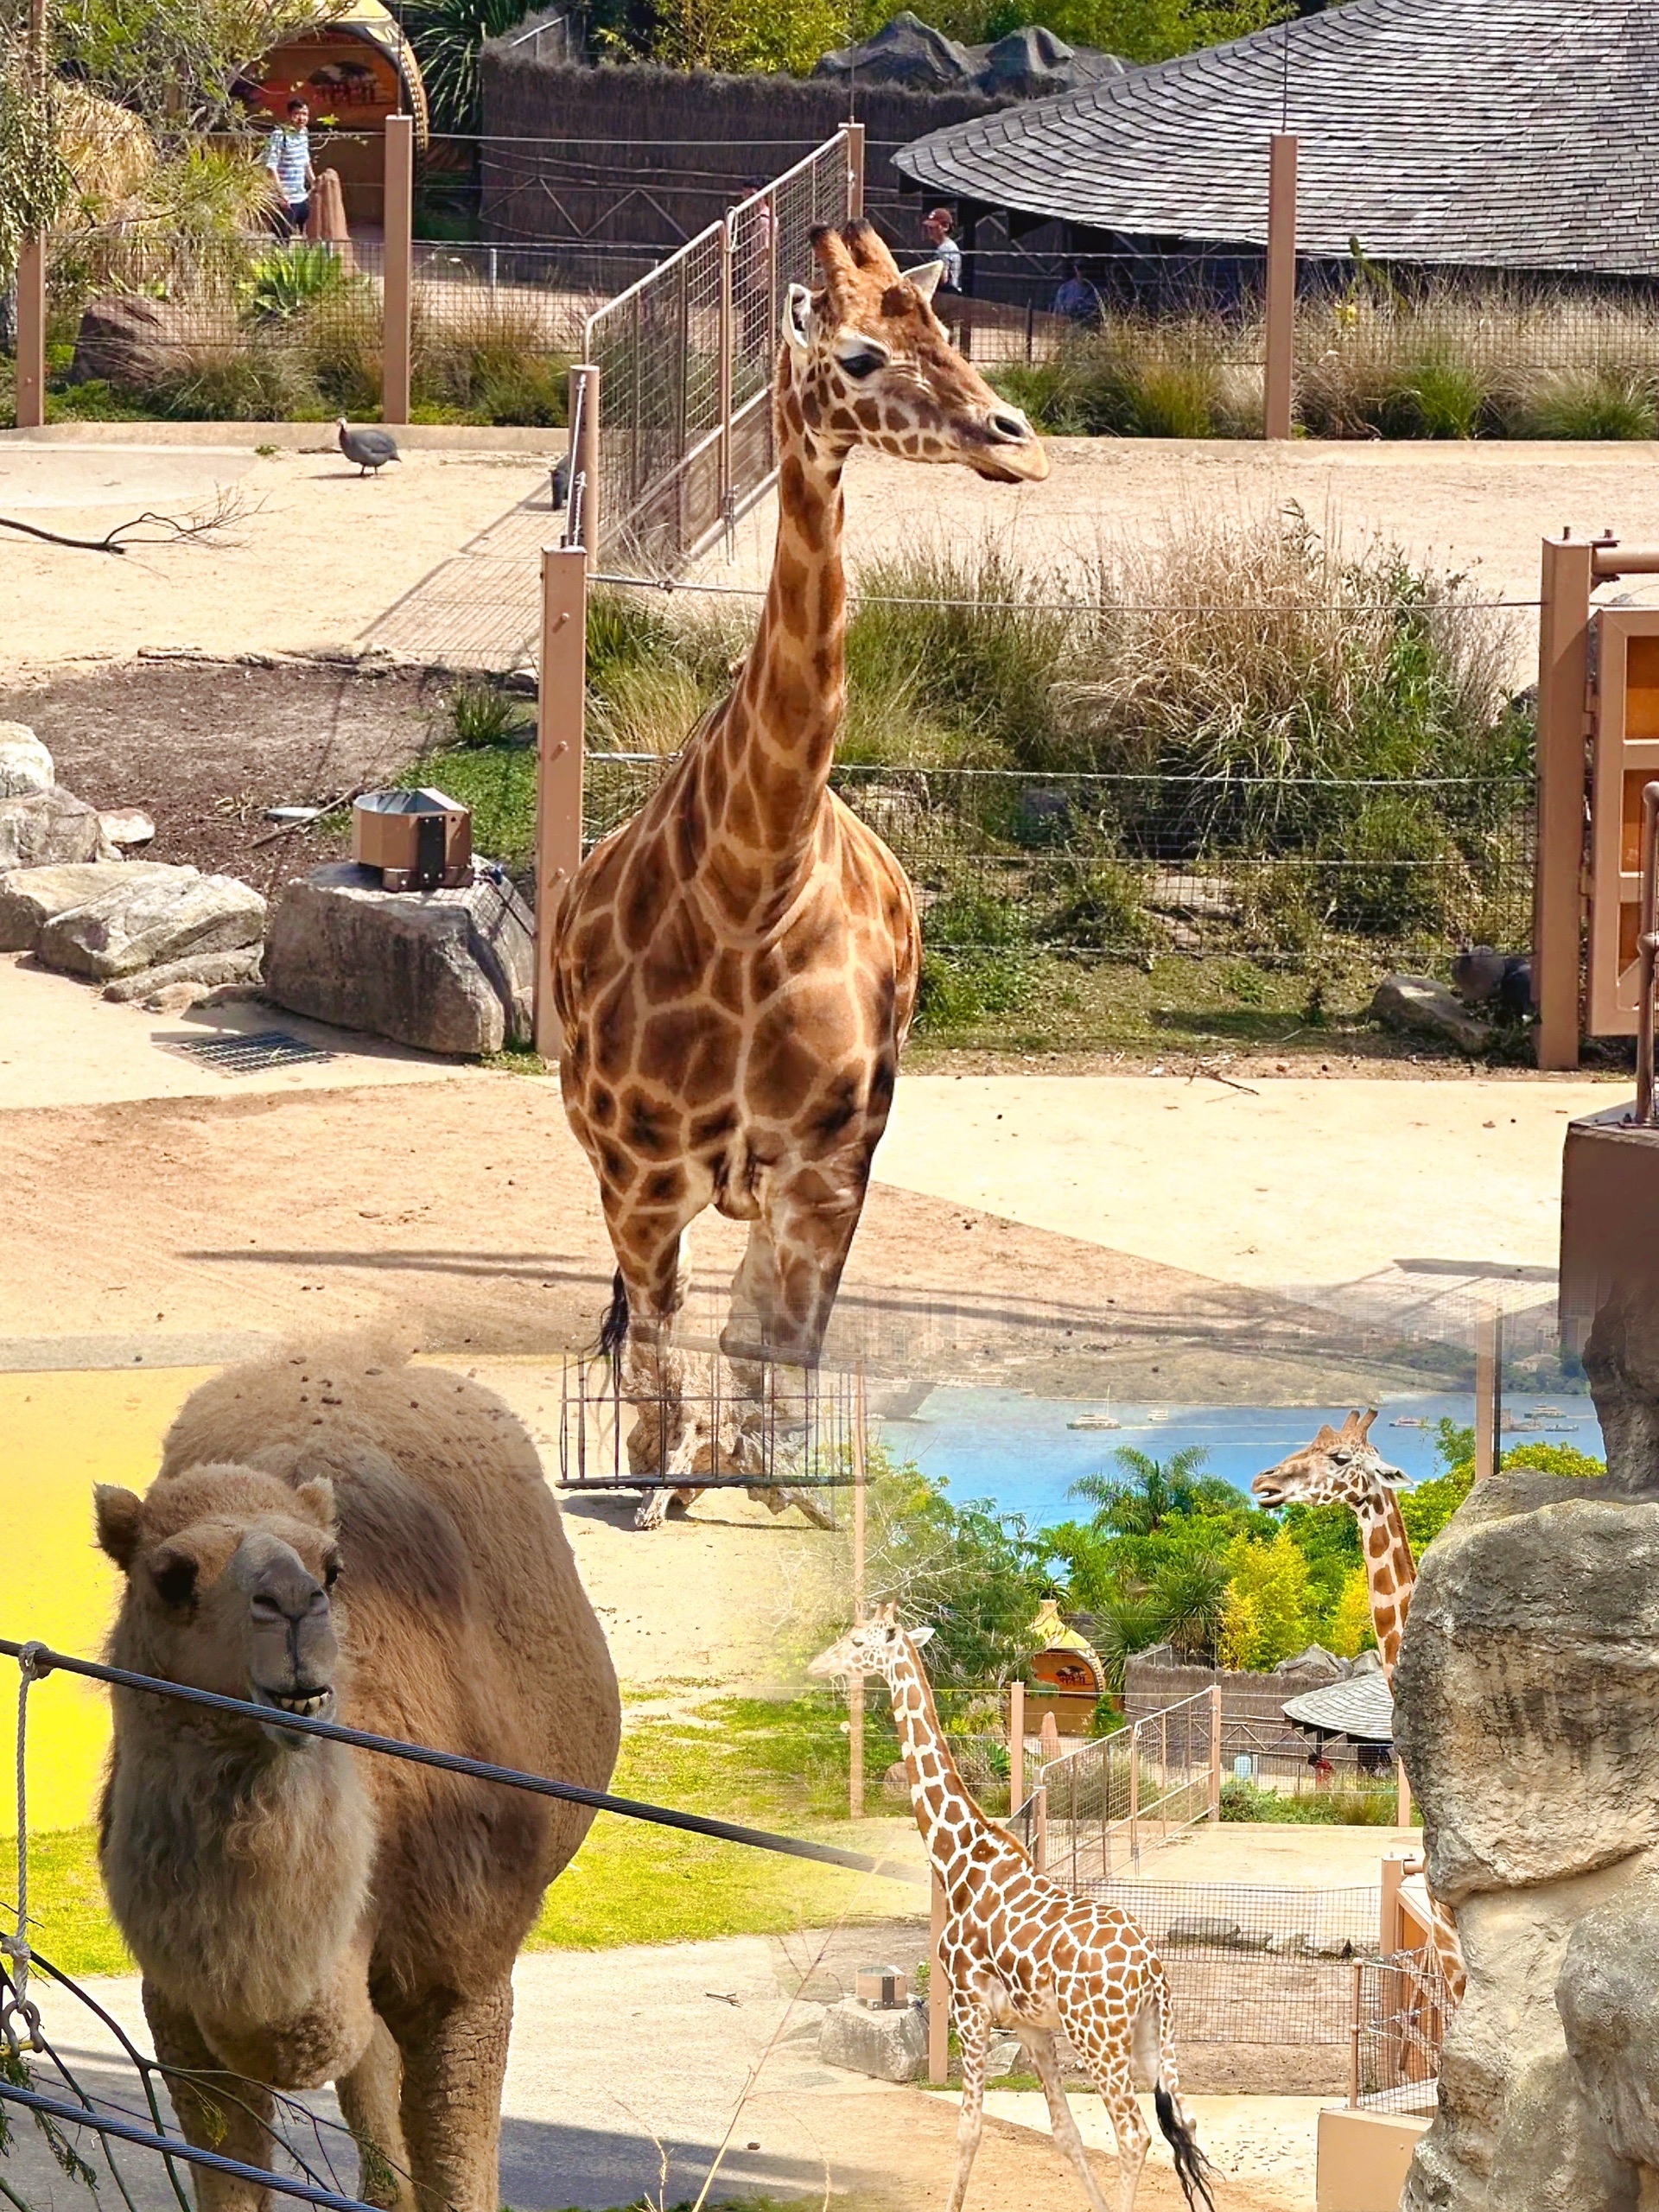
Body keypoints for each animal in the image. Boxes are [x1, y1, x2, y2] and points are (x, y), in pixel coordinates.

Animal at [93, 1336, 623, 2212]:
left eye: (332, 1567)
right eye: (172, 1577)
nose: (293, 1604)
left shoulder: (468, 1975)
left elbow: (461, 2175)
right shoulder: (174, 2001)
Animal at [559, 219, 1052, 1539]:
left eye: (950, 331)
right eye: (862, 353)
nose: (1017, 443)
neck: (753, 887)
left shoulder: (831, 1168)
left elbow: (778, 1338)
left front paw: (782, 1485)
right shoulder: (643, 1172)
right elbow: (666, 1333)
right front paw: (653, 1481)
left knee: (756, 1321)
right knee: (668, 1317)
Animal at [809, 1610, 1211, 2212]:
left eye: (857, 1642)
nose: (816, 1665)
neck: (957, 1858)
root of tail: (1151, 1971)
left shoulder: (969, 2005)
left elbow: (969, 2128)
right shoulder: (1029, 2026)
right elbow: (1065, 2134)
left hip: (1099, 2039)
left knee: (1134, 2134)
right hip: (1152, 2038)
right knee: (1183, 2124)